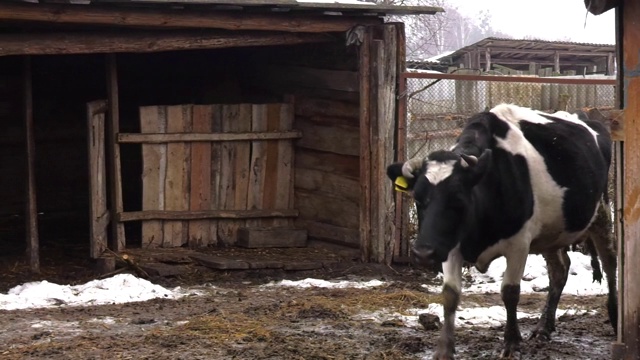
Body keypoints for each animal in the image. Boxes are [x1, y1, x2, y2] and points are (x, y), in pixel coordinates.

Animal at [388, 102, 616, 358]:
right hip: (552, 232)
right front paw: (444, 349)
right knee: (560, 270)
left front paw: (511, 343)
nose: (424, 253)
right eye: (418, 198)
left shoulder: (519, 244)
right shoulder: (450, 245)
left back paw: (615, 317)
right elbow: (450, 294)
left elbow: (510, 292)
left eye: (458, 199)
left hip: (601, 212)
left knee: (610, 263)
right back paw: (543, 327)